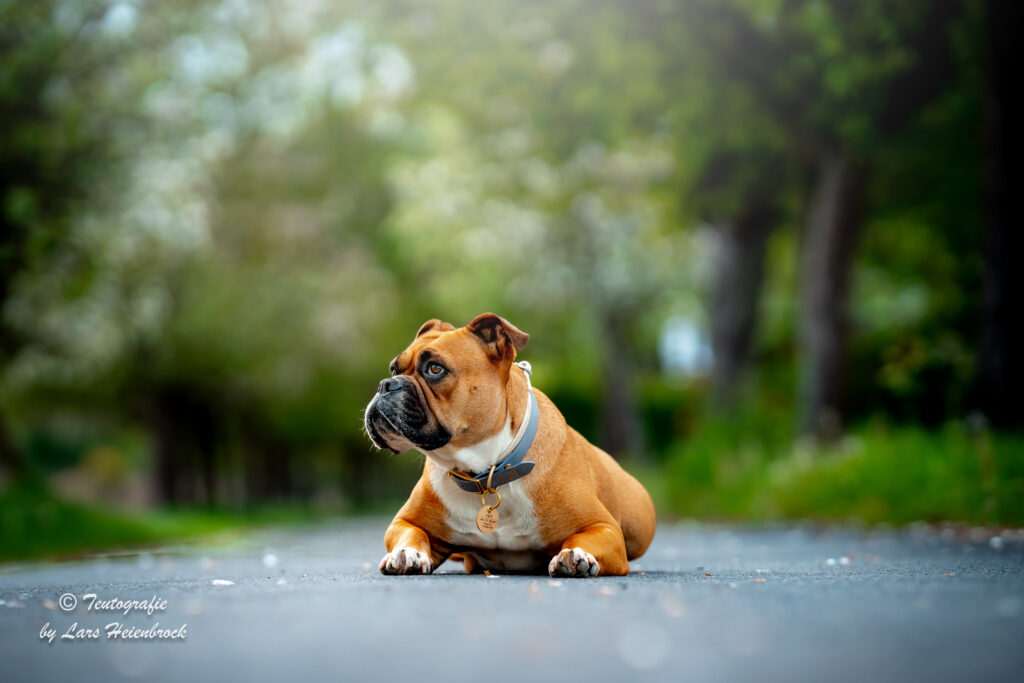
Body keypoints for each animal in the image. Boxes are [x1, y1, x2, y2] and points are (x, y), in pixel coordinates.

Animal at [366, 315, 655, 577]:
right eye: (394, 369)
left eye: (435, 369)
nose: (385, 385)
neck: (486, 471)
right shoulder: (404, 522)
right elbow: (411, 535)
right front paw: (406, 554)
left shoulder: (604, 527)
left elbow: (582, 538)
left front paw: (575, 554)